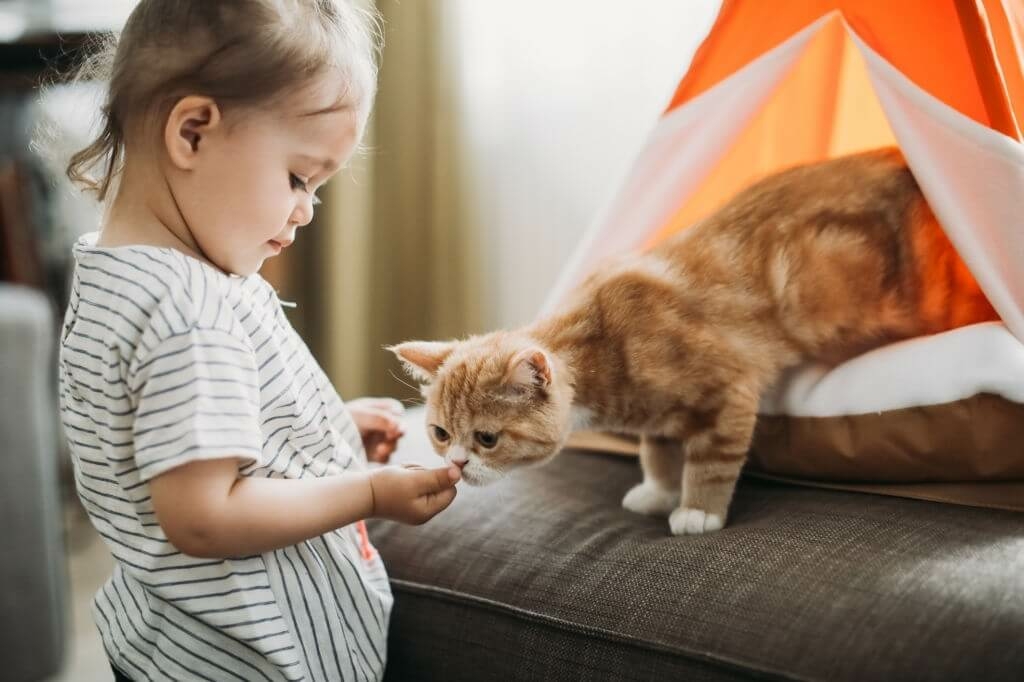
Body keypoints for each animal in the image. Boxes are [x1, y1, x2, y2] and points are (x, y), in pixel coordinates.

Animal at [393, 147, 999, 532]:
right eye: (441, 433)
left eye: (487, 438)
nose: (456, 464)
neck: (605, 340)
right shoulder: (656, 416)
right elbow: (659, 449)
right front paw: (660, 490)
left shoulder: (729, 389)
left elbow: (711, 457)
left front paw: (697, 510)